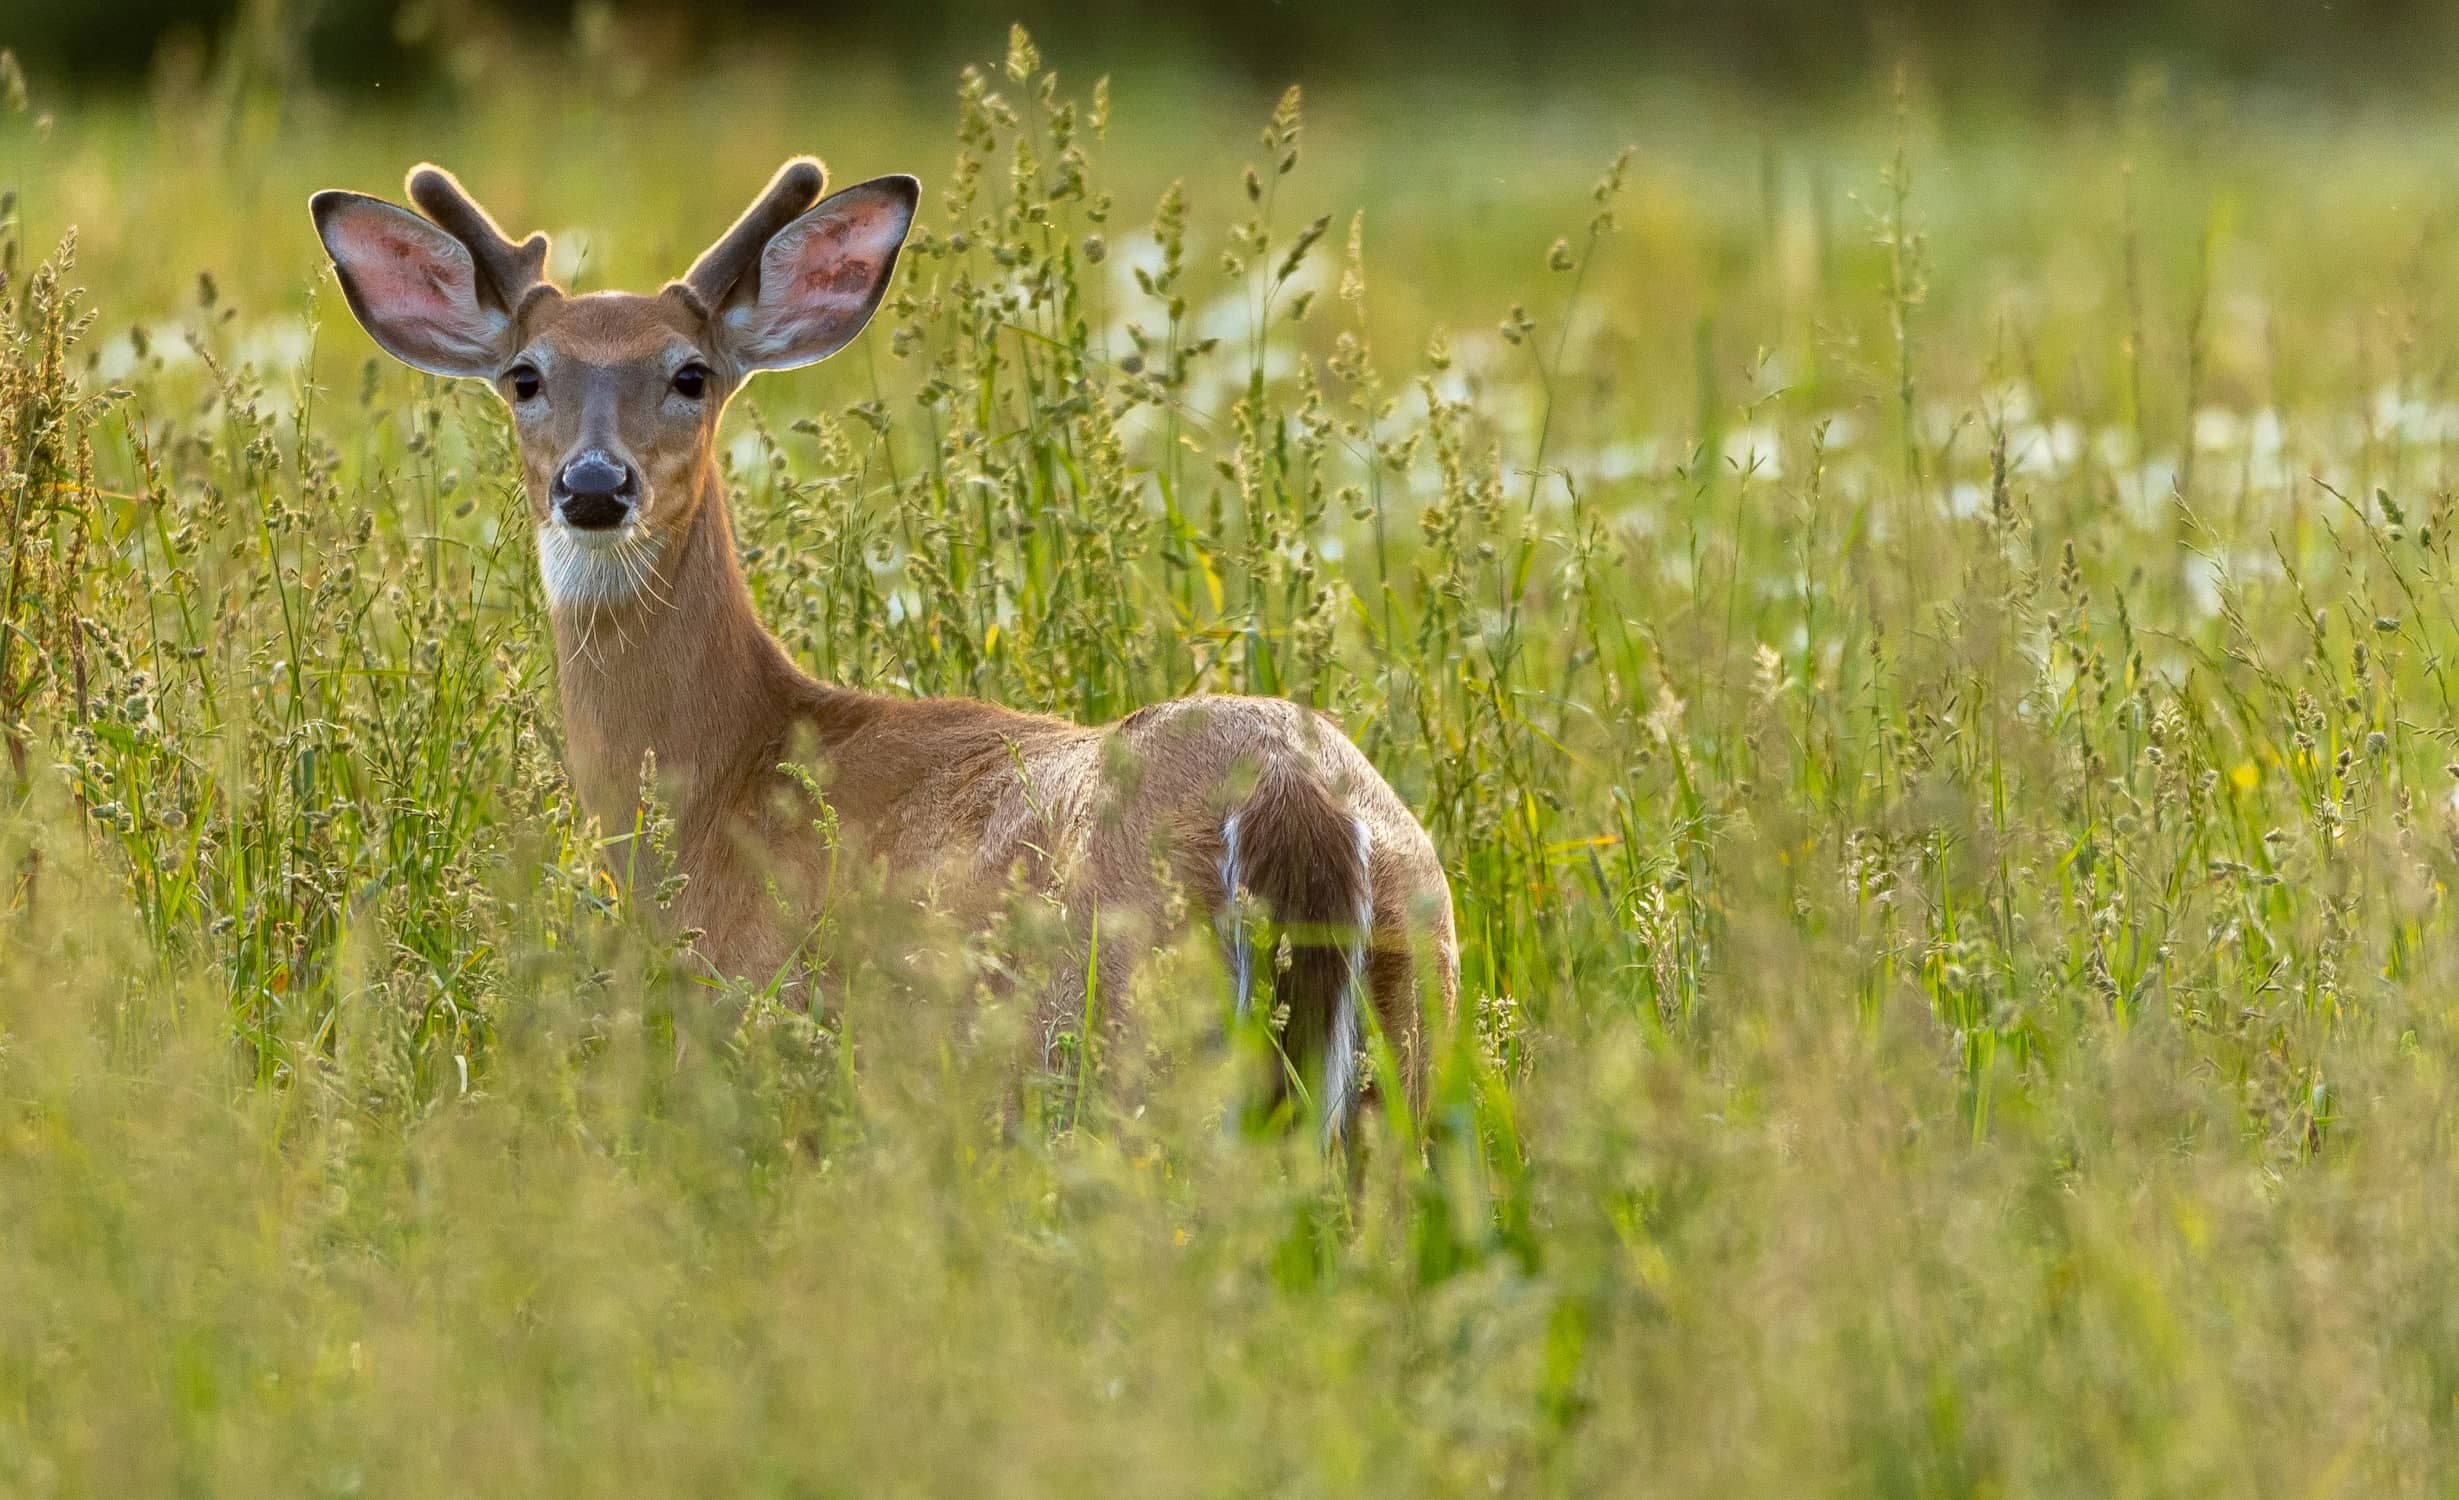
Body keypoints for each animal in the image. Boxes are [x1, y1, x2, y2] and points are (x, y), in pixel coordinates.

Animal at [308, 157, 1457, 1141]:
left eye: (690, 374)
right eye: (523, 376)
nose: (593, 486)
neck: (724, 786)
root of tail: (1291, 799)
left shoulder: (756, 1026)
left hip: (1120, 1047)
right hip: (1405, 1031)